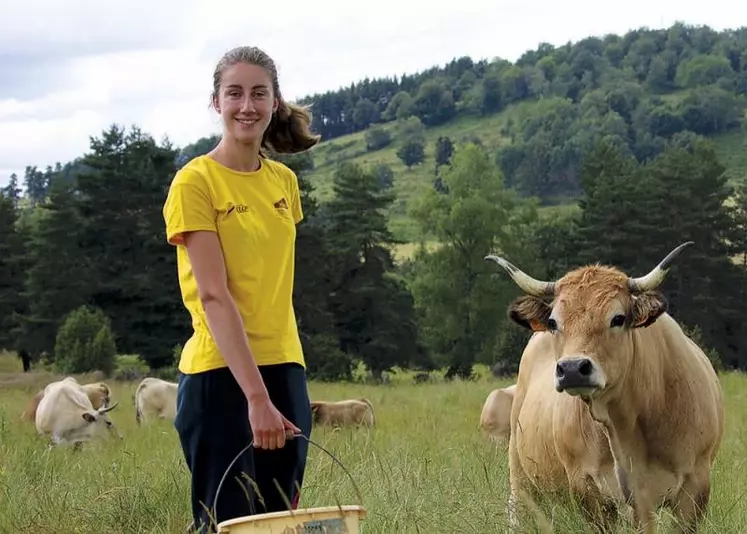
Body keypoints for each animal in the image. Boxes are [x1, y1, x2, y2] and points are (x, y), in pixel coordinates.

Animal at [486, 244, 724, 534]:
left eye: (618, 318)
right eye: (553, 322)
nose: (572, 368)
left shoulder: (693, 486)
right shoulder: (588, 487)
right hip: (521, 481)